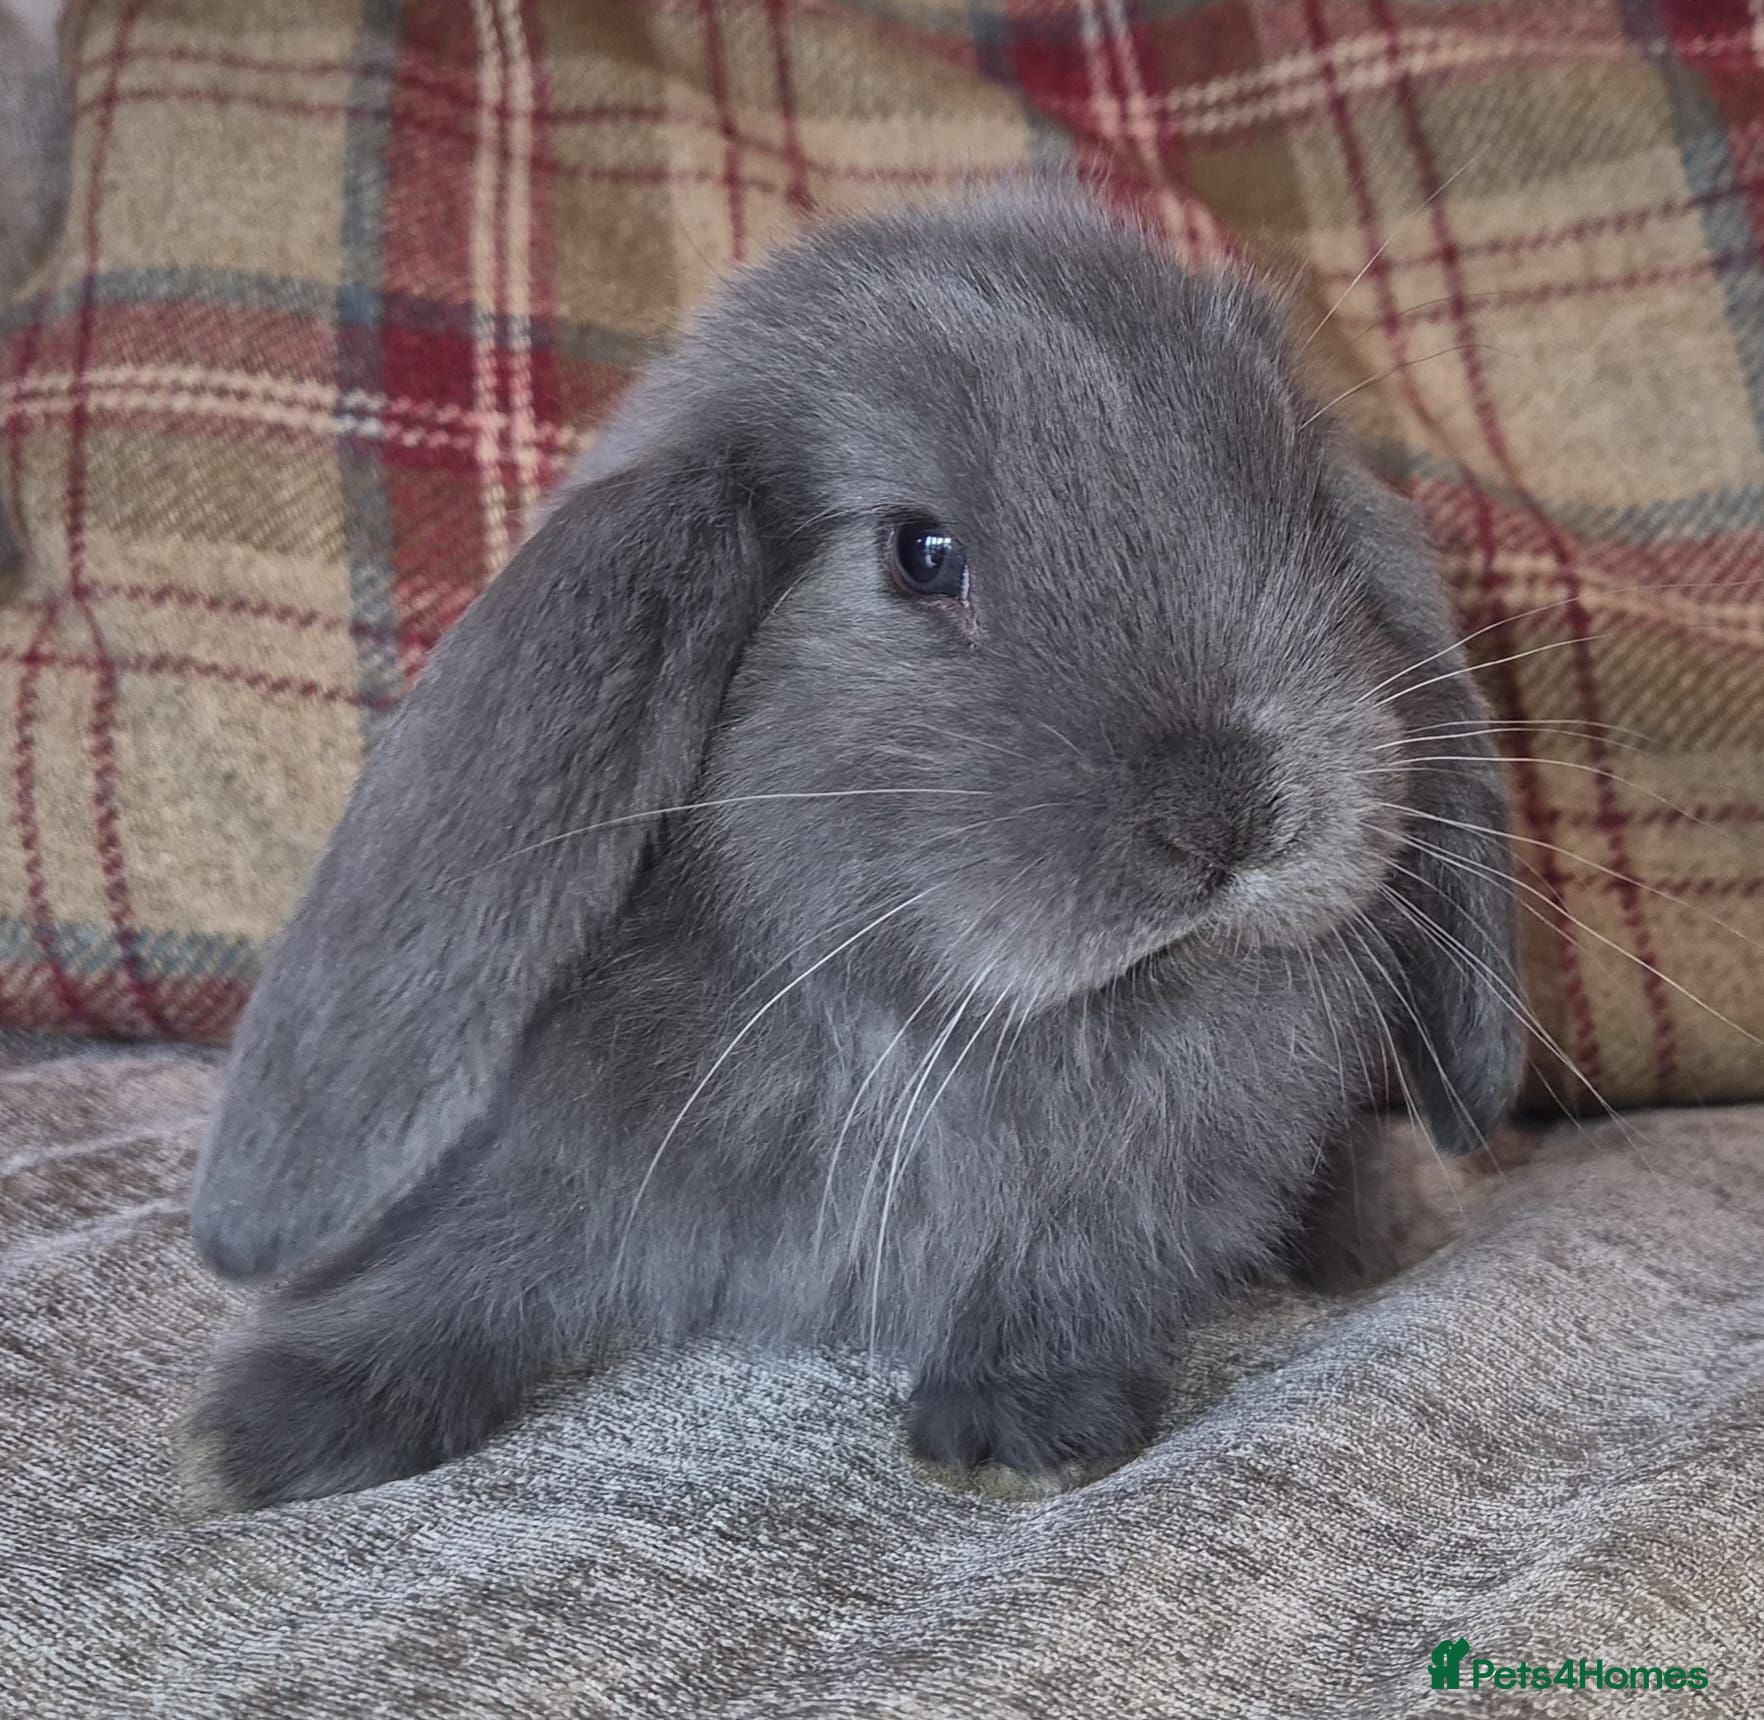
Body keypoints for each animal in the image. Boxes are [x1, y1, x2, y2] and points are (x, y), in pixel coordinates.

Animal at [182, 185, 1521, 1511]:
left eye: (1300, 510)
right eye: (921, 553)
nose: (1233, 814)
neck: (905, 1022)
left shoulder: (1139, 1197)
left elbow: (1069, 1271)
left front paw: (1022, 1426)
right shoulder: (558, 1157)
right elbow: (475, 1253)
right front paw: (282, 1421)